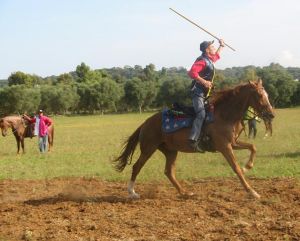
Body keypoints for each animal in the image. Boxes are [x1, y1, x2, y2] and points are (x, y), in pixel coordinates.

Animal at [114, 80, 274, 199]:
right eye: (259, 95)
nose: (271, 114)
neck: (224, 115)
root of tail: (145, 123)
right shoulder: (225, 146)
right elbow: (236, 168)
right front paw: (252, 192)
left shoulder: (232, 143)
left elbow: (252, 147)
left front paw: (248, 166)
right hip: (148, 148)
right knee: (137, 167)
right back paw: (132, 193)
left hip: (171, 151)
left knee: (169, 172)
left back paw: (184, 192)